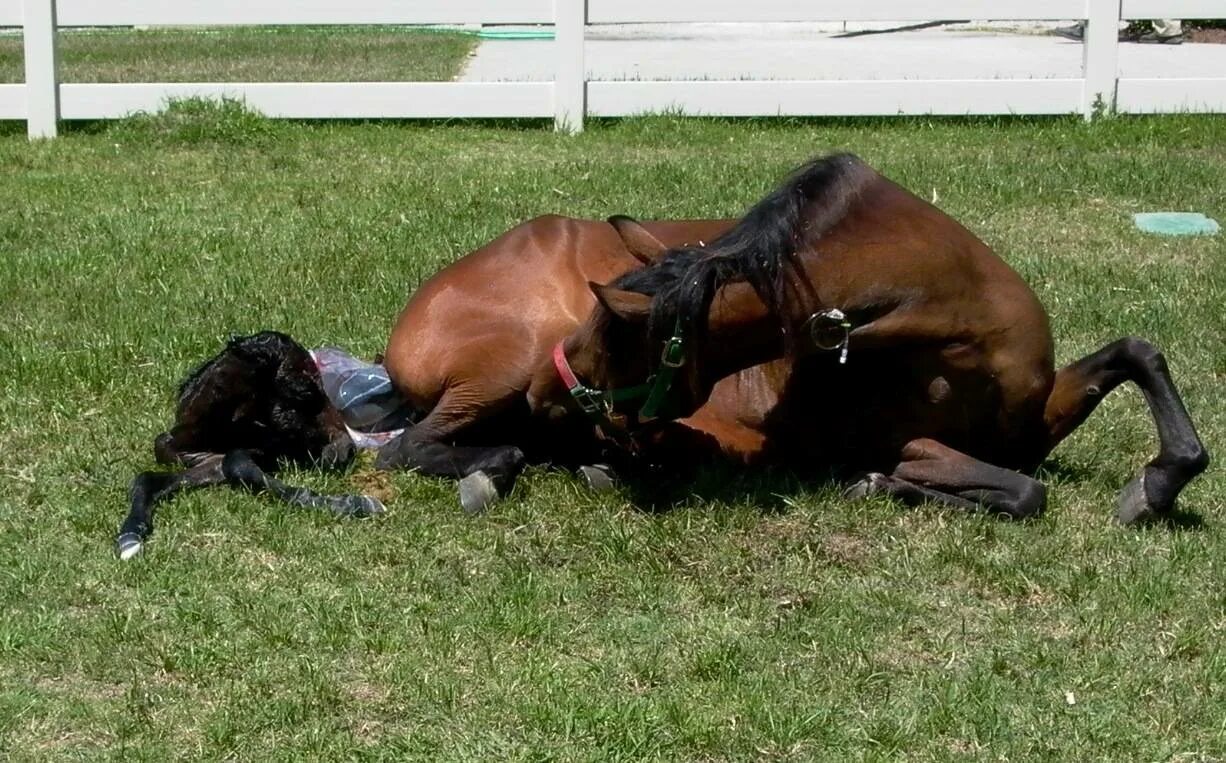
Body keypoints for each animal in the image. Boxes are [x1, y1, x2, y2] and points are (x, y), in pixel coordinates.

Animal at [534, 155, 1206, 525]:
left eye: (614, 337)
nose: (542, 391)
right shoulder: (904, 441)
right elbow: (1023, 490)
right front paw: (884, 484)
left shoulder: (1029, 427)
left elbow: (1136, 353)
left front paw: (1158, 482)